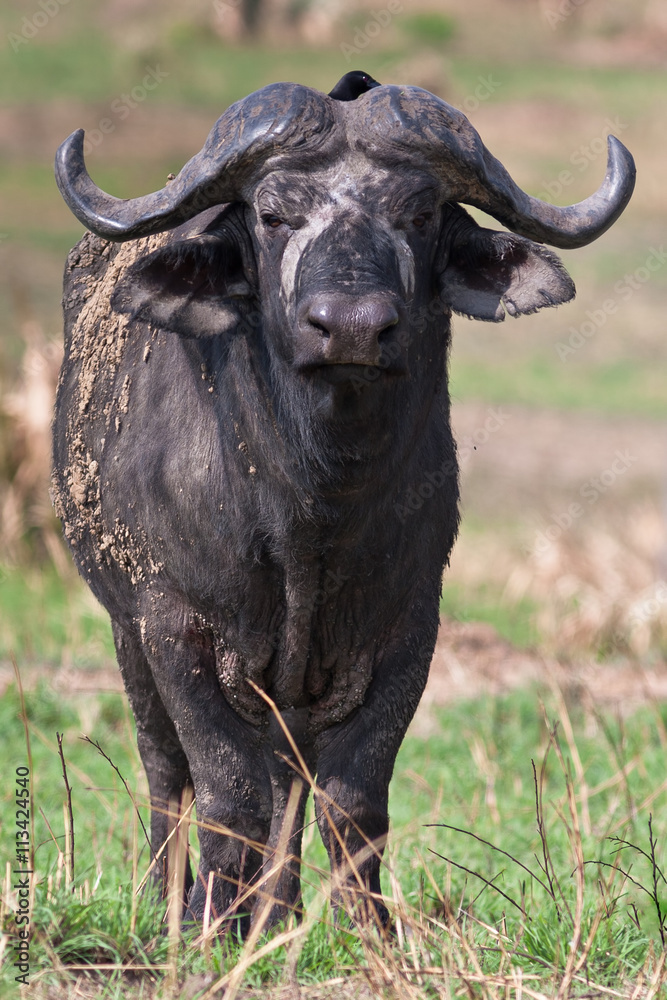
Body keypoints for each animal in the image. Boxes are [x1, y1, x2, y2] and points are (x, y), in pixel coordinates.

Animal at [53, 75, 635, 931]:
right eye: (272, 214)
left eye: (418, 214)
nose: (352, 328)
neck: (309, 508)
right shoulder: (173, 628)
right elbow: (225, 790)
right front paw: (205, 925)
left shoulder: (407, 632)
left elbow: (350, 800)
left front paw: (370, 934)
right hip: (129, 636)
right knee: (167, 770)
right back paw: (172, 900)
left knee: (287, 780)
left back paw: (278, 913)